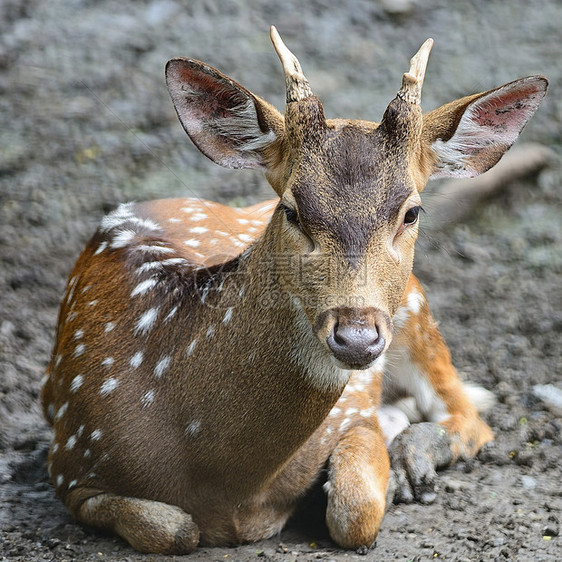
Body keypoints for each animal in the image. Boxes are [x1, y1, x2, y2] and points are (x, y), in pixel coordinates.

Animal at [40, 27, 548, 552]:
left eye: (412, 212)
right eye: (291, 210)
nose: (357, 337)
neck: (224, 486)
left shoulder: (353, 413)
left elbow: (355, 511)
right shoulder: (70, 460)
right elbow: (174, 528)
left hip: (414, 304)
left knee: (468, 415)